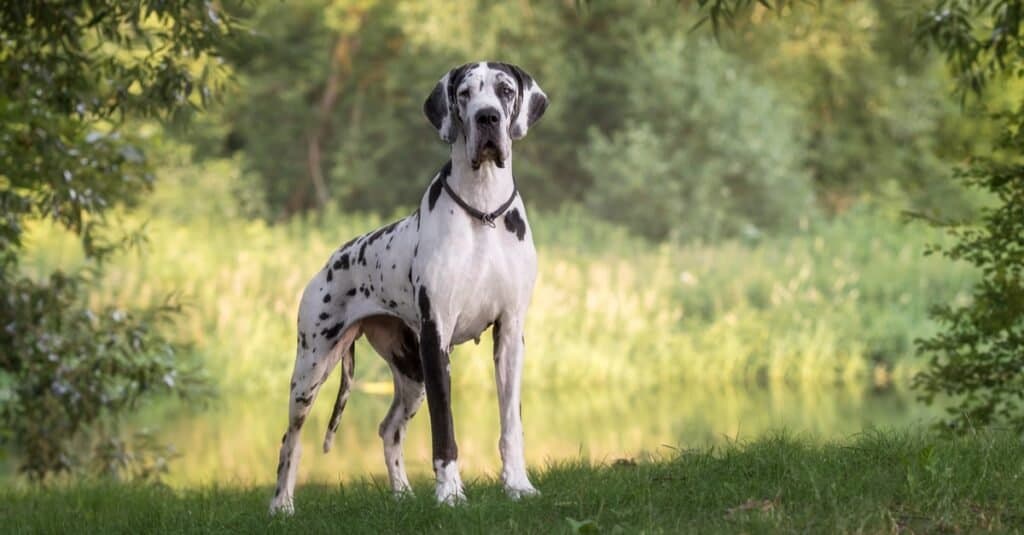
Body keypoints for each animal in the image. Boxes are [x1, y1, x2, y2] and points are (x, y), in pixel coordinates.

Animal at [268, 62, 548, 512]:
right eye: (464, 93)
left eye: (505, 90)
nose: (487, 117)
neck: (483, 209)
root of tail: (332, 258)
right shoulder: (437, 339)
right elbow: (444, 432)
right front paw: (450, 493)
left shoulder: (509, 334)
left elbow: (511, 424)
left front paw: (518, 485)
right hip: (311, 369)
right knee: (289, 439)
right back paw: (281, 505)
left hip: (411, 374)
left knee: (388, 428)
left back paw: (401, 493)